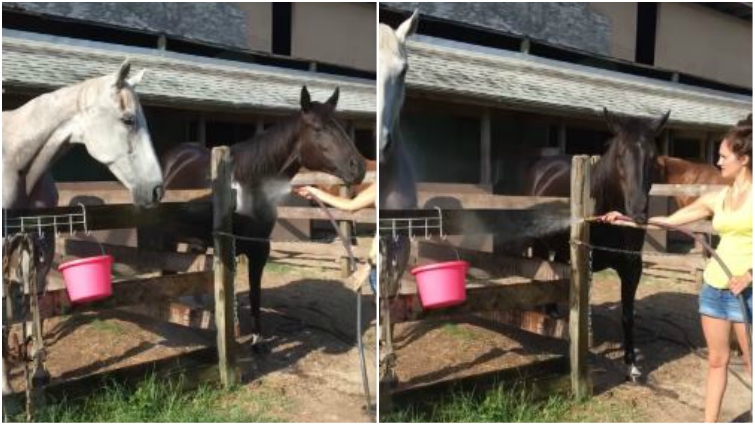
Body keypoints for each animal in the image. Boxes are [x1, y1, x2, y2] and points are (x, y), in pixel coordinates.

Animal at [2, 60, 164, 395]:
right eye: (128, 120)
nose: (157, 189)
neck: (14, 160)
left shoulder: (36, 243)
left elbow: (32, 303)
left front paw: (38, 371)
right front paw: (5, 387)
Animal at [160, 86, 366, 346]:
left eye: (340, 126)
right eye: (318, 129)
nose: (358, 168)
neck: (245, 184)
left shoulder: (259, 249)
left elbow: (255, 293)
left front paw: (257, 339)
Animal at [523, 109, 670, 381]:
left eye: (653, 157)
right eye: (620, 155)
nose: (637, 212)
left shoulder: (632, 267)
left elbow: (627, 315)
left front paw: (631, 365)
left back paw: (553, 311)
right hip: (540, 243)